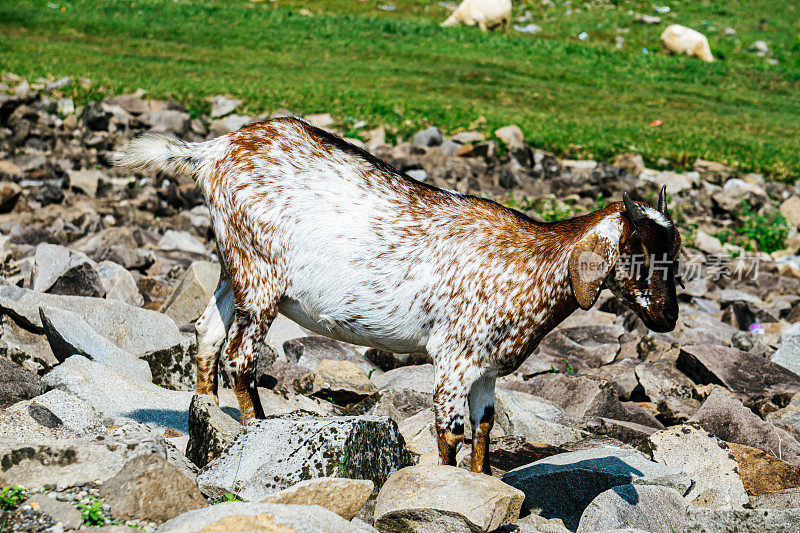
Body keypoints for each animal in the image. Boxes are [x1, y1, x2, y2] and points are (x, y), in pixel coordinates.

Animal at [117, 118, 680, 472]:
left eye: (674, 254)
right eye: (637, 252)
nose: (668, 318)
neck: (530, 262)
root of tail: (212, 151)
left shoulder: (487, 368)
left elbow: (484, 428)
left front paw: (481, 484)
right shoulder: (455, 356)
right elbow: (450, 432)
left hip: (232, 263)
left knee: (207, 331)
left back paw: (207, 413)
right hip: (261, 275)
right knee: (239, 356)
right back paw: (255, 430)